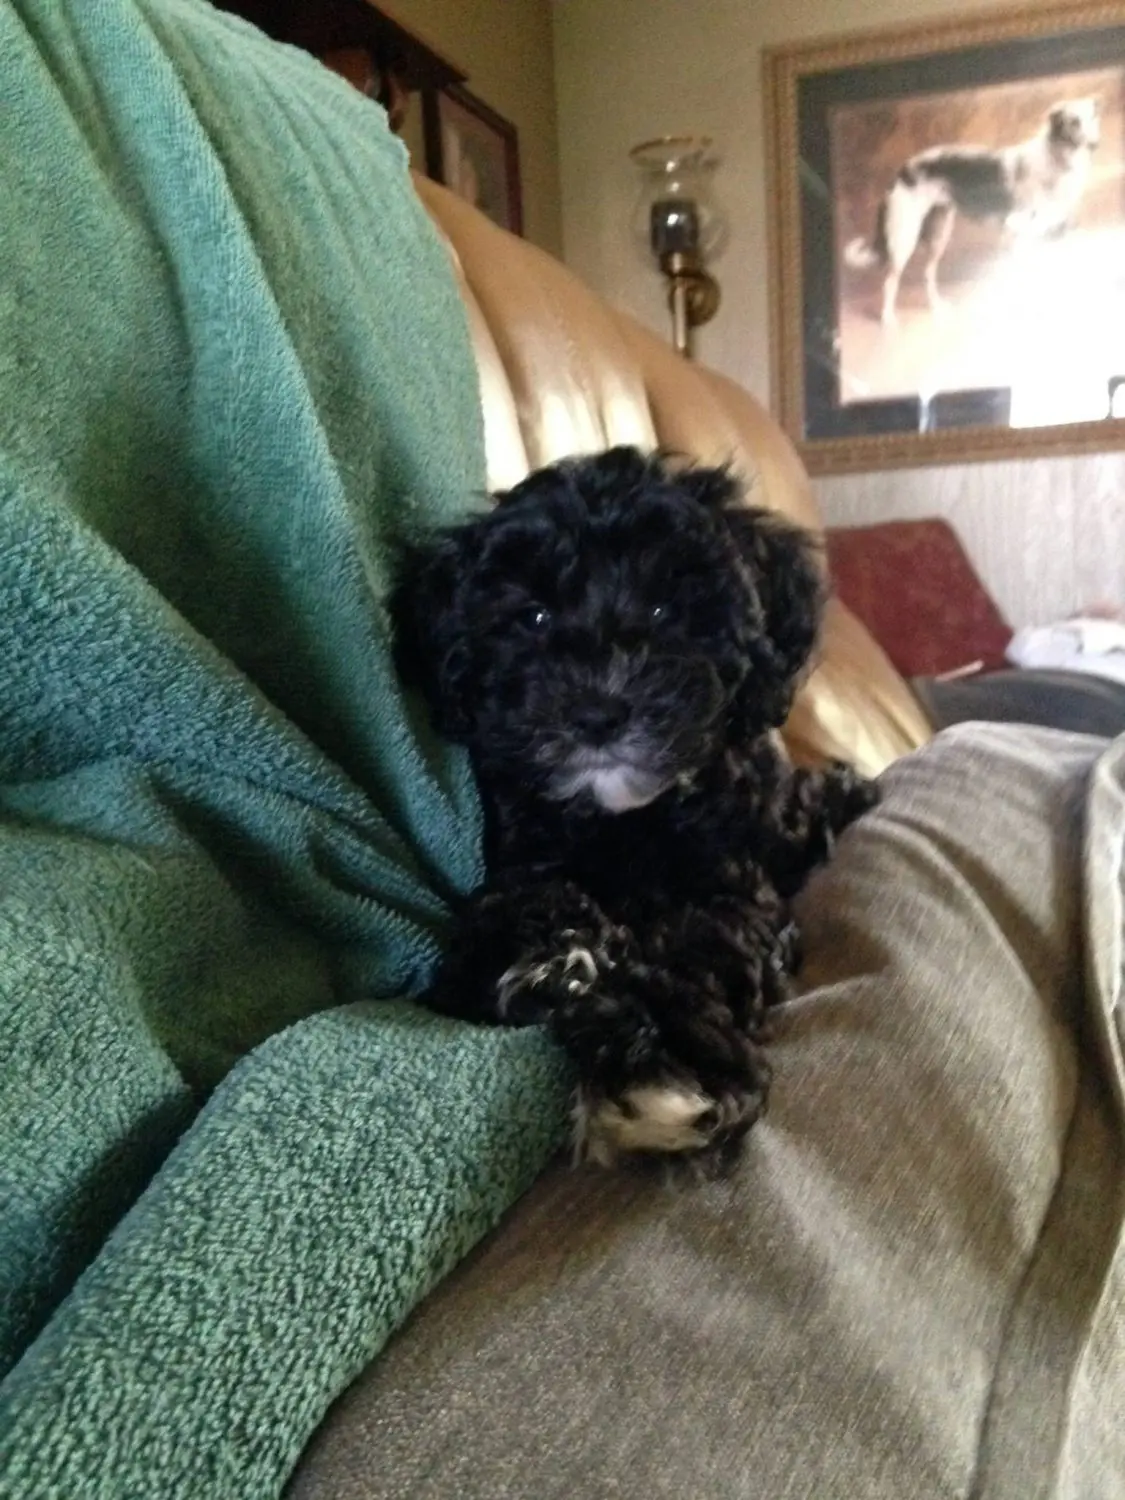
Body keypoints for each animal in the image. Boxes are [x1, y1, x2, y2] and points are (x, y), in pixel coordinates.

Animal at [396, 444, 882, 1170]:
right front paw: (546, 956)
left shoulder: (731, 884)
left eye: (661, 610)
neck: (625, 820)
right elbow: (520, 907)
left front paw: (666, 1057)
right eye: (533, 617)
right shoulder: (528, 854)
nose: (597, 712)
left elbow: (701, 939)